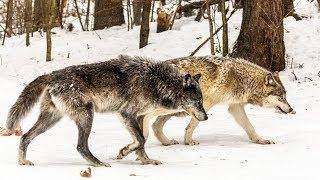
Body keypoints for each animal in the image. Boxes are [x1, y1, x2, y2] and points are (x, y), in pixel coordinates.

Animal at [0, 55, 208, 167]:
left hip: (51, 120)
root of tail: (52, 74)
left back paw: (23, 162)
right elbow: (141, 139)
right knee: (80, 146)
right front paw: (125, 152)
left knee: (25, 137)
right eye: (198, 102)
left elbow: (142, 141)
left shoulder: (140, 116)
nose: (206, 117)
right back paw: (98, 164)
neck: (156, 82)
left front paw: (145, 160)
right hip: (86, 116)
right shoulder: (126, 114)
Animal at [142, 56, 296, 146]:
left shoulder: (235, 107)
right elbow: (192, 125)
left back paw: (166, 142)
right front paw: (188, 141)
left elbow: (249, 126)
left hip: (175, 111)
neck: (242, 80)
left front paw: (260, 140)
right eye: (281, 97)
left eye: (285, 96)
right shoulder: (205, 105)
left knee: (155, 125)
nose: (291, 109)